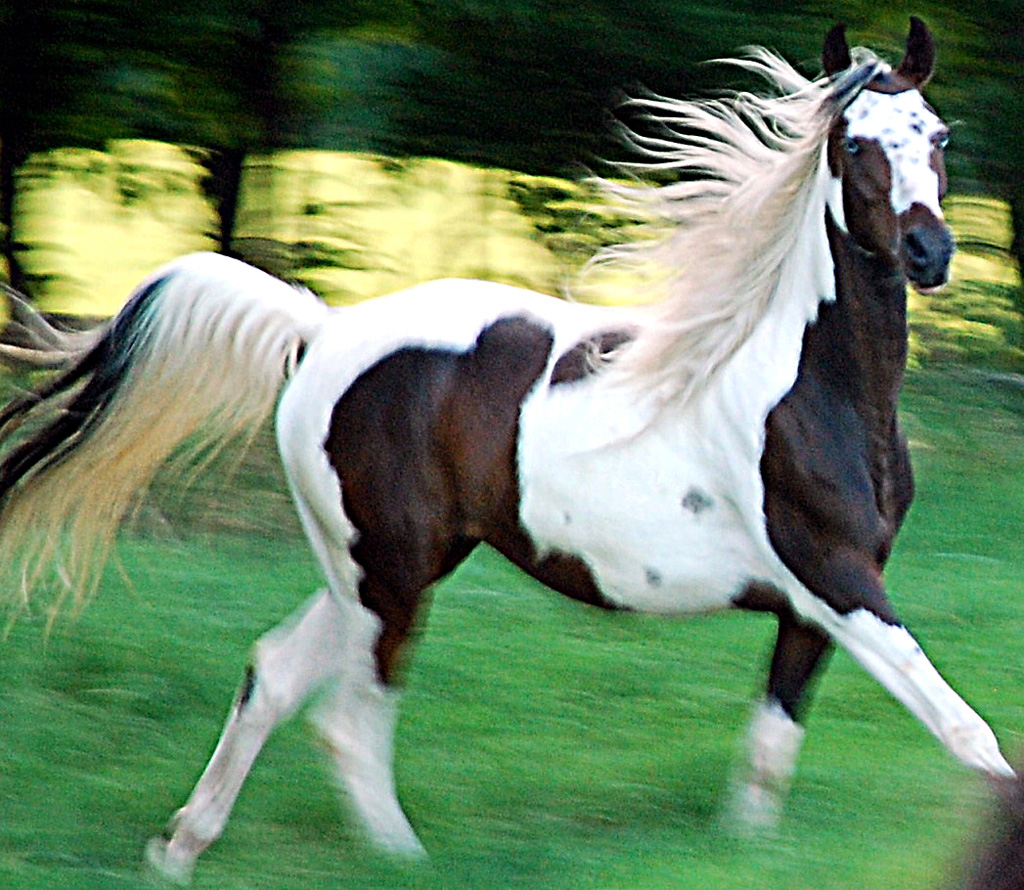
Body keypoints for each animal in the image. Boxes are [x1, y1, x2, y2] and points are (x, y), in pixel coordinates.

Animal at [0, 13, 1011, 880]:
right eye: (855, 144)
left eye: (937, 135)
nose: (929, 254)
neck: (807, 392)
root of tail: (322, 332)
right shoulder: (837, 580)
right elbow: (971, 738)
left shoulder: (811, 609)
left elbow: (768, 758)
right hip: (392, 575)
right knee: (352, 720)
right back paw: (402, 862)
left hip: (377, 568)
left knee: (275, 677)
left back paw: (179, 849)